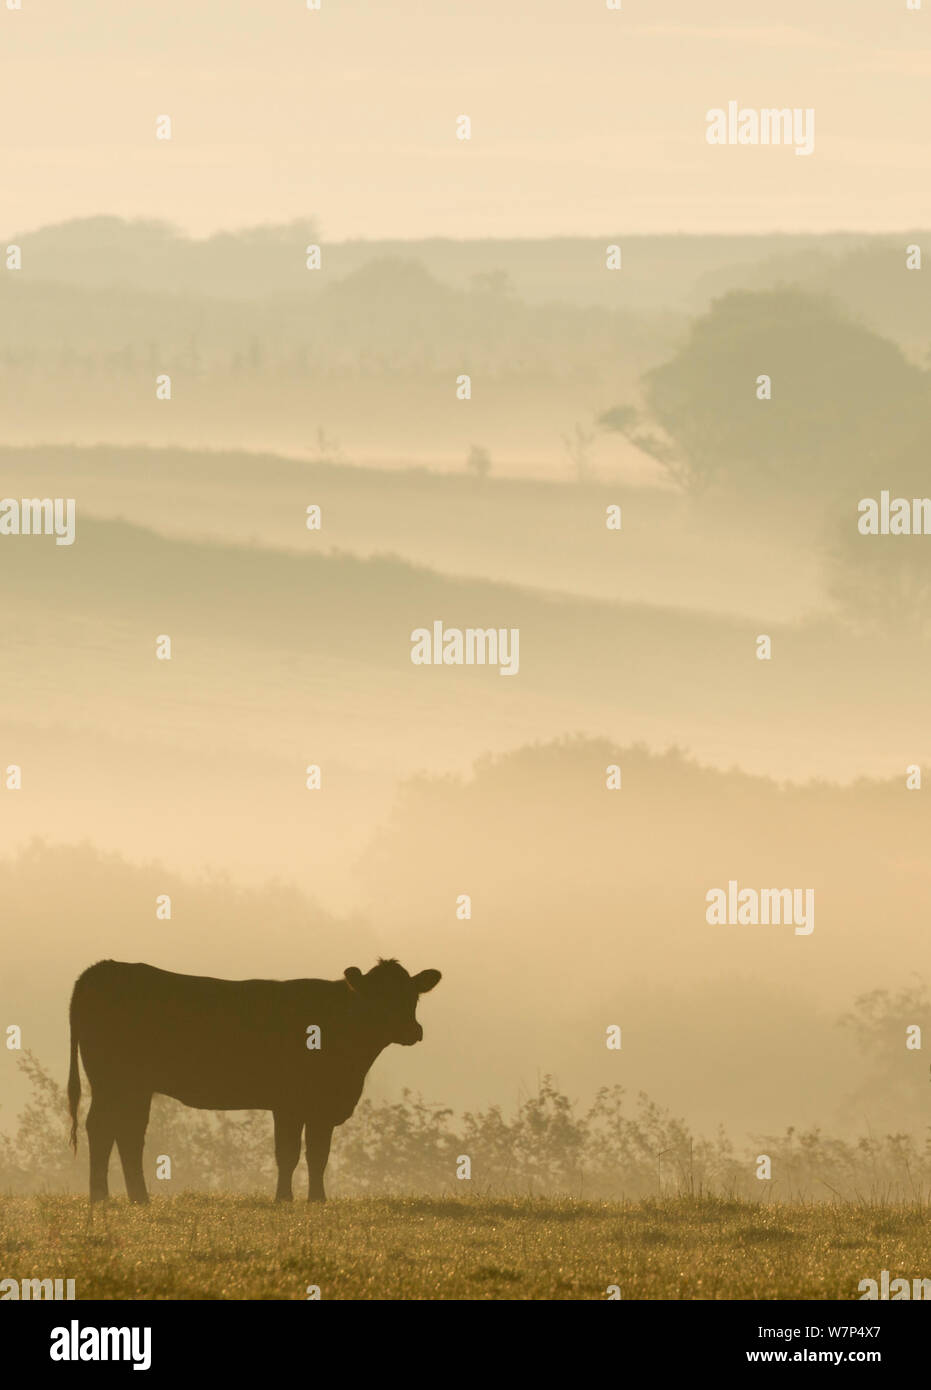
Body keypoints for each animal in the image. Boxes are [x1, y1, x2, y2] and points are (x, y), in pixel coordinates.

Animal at [67, 956, 441, 1206]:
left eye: (412, 995)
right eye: (377, 996)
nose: (413, 1030)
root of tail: (105, 967)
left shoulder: (321, 1106)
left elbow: (318, 1154)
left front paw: (316, 1201)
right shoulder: (291, 1103)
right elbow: (289, 1153)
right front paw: (284, 1200)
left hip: (133, 1086)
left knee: (126, 1133)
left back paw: (137, 1198)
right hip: (112, 1080)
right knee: (102, 1128)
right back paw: (100, 1197)